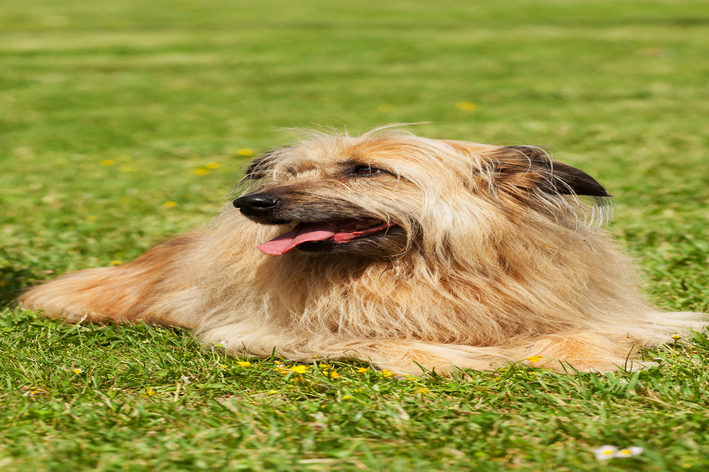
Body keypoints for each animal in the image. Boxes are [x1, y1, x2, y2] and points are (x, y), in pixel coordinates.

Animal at [19, 127, 704, 374]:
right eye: (296, 172)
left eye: (366, 170)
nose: (252, 204)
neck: (417, 271)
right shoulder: (271, 332)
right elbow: (393, 343)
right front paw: (457, 358)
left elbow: (590, 333)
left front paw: (588, 355)